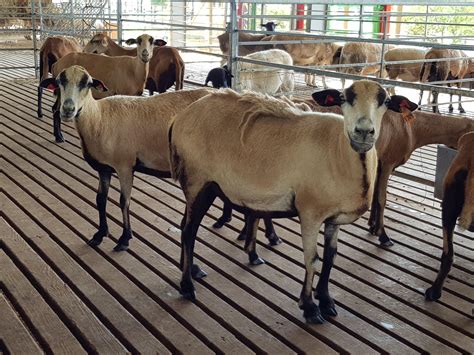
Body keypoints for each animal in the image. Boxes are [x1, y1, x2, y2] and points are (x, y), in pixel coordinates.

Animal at [40, 64, 211, 253]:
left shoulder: (125, 166)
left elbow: (124, 201)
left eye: (88, 83)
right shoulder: (104, 169)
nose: (67, 109)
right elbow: (100, 199)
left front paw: (124, 239)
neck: (98, 118)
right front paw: (99, 235)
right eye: (58, 82)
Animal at [168, 80, 414, 326]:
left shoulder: (333, 219)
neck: (339, 151)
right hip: (199, 181)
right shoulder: (310, 213)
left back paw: (192, 269)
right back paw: (187, 286)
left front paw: (326, 301)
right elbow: (312, 260)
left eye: (386, 101)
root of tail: (181, 118)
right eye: (344, 98)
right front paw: (310, 307)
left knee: (184, 225)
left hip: (194, 186)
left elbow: (330, 258)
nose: (363, 132)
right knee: (188, 232)